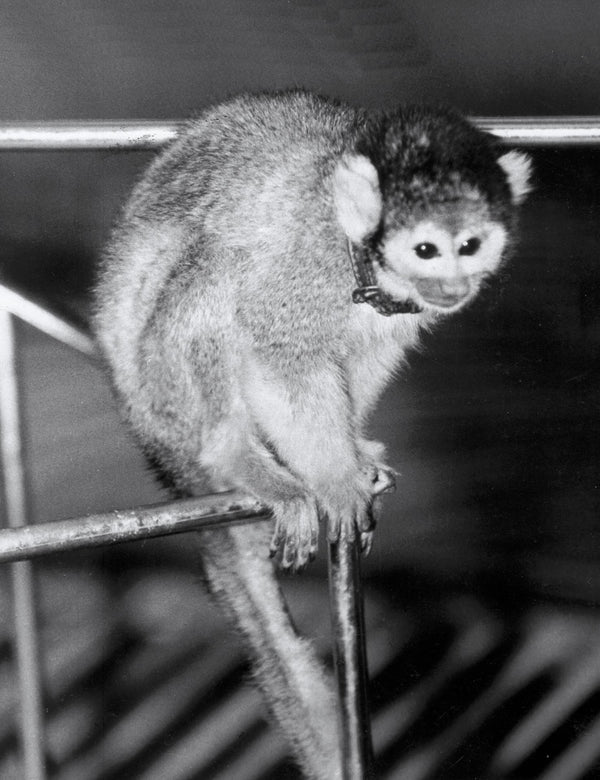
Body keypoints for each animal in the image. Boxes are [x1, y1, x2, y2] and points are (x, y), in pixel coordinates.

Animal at [93, 89, 532, 779]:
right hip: (163, 394)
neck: (362, 258)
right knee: (215, 269)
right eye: (427, 250)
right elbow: (279, 355)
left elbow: (366, 356)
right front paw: (334, 477)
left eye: (470, 244)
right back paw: (236, 455)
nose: (453, 286)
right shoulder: (306, 265)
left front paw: (354, 452)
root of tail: (156, 446)